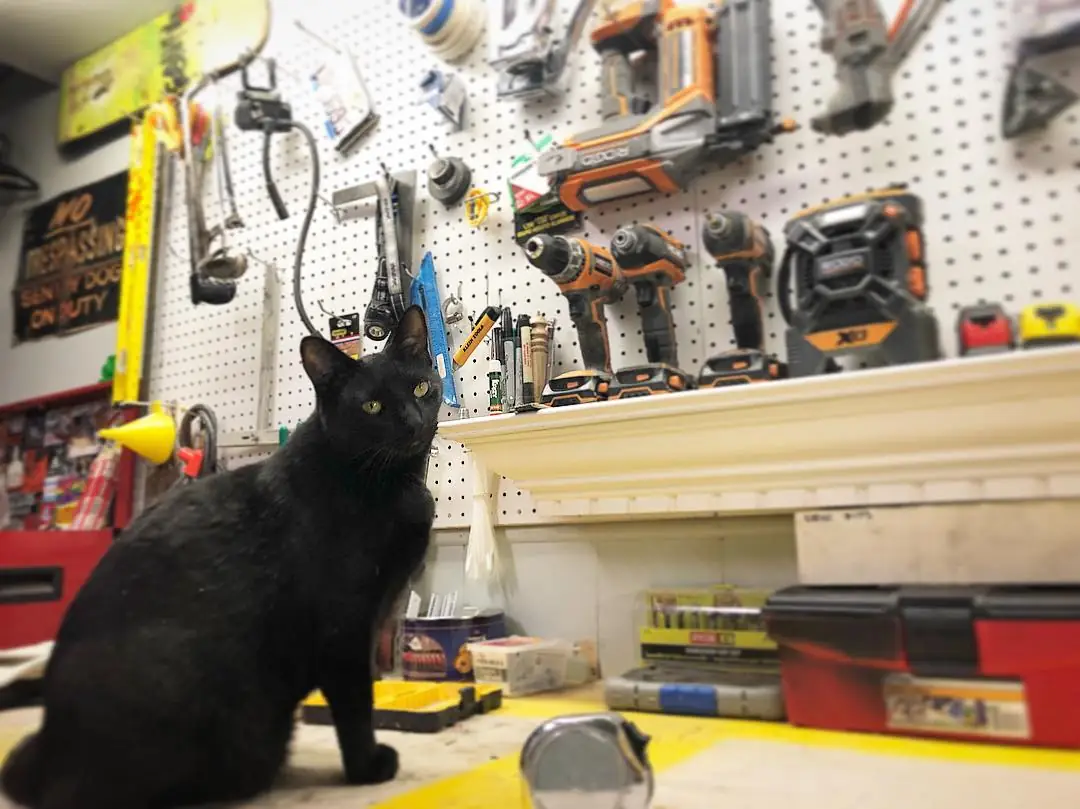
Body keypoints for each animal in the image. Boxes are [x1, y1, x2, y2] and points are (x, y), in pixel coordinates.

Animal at [1, 305, 442, 809]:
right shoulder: (343, 627)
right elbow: (356, 705)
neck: (386, 484)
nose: (413, 422)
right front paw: (367, 769)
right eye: (372, 407)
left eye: (420, 388)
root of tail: (45, 755)